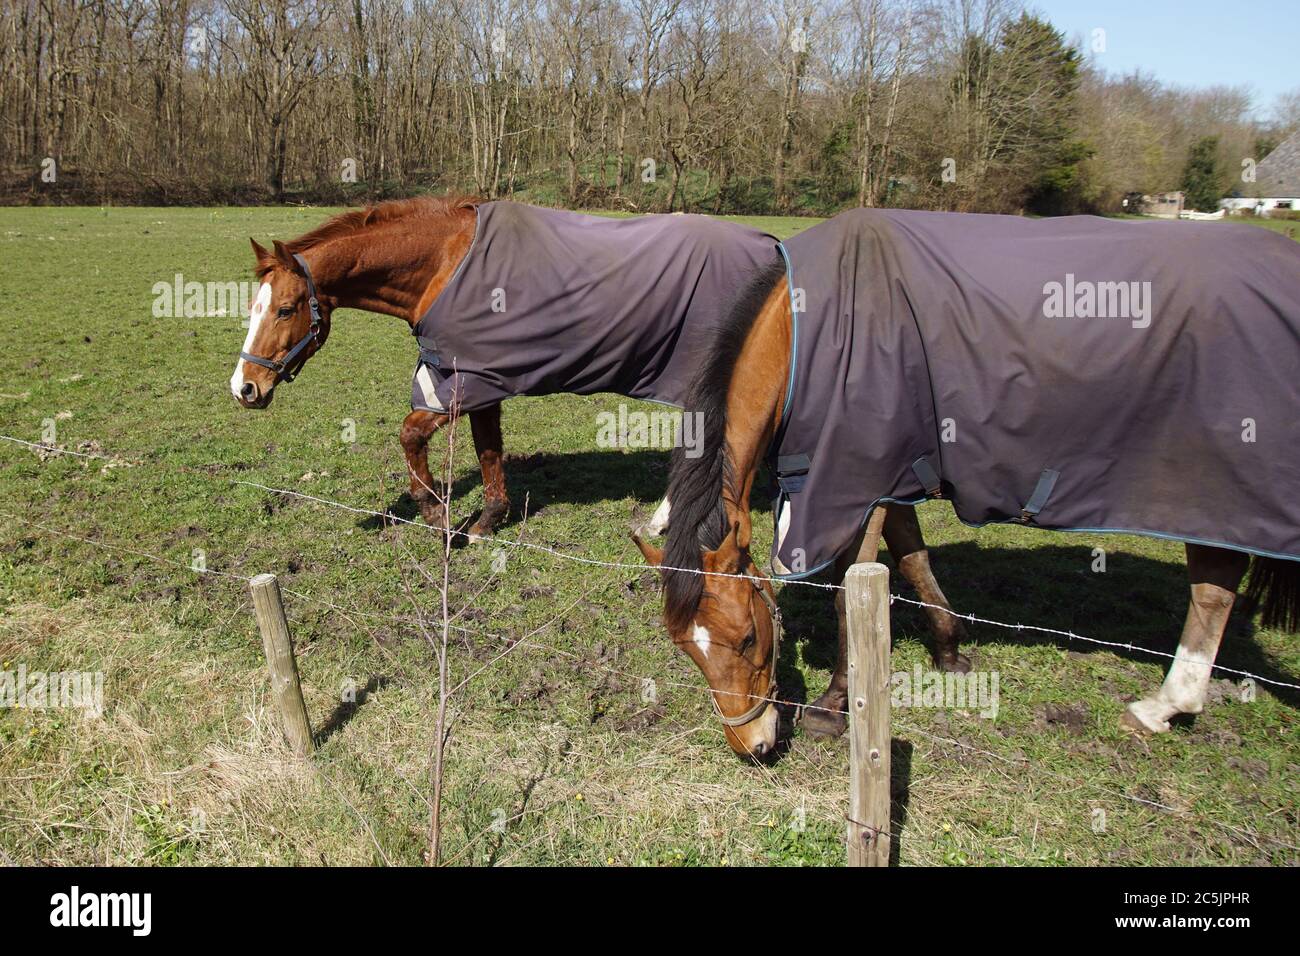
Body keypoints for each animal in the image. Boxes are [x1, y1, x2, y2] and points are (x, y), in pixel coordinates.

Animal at [637, 208, 1300, 759]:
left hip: (1209, 489)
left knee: (1213, 590)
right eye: (688, 649)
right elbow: (912, 560)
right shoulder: (893, 475)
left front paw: (834, 705)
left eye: (749, 637)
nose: (753, 745)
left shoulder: (856, 481)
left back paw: (1164, 704)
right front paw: (950, 648)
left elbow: (852, 591)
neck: (804, 330)